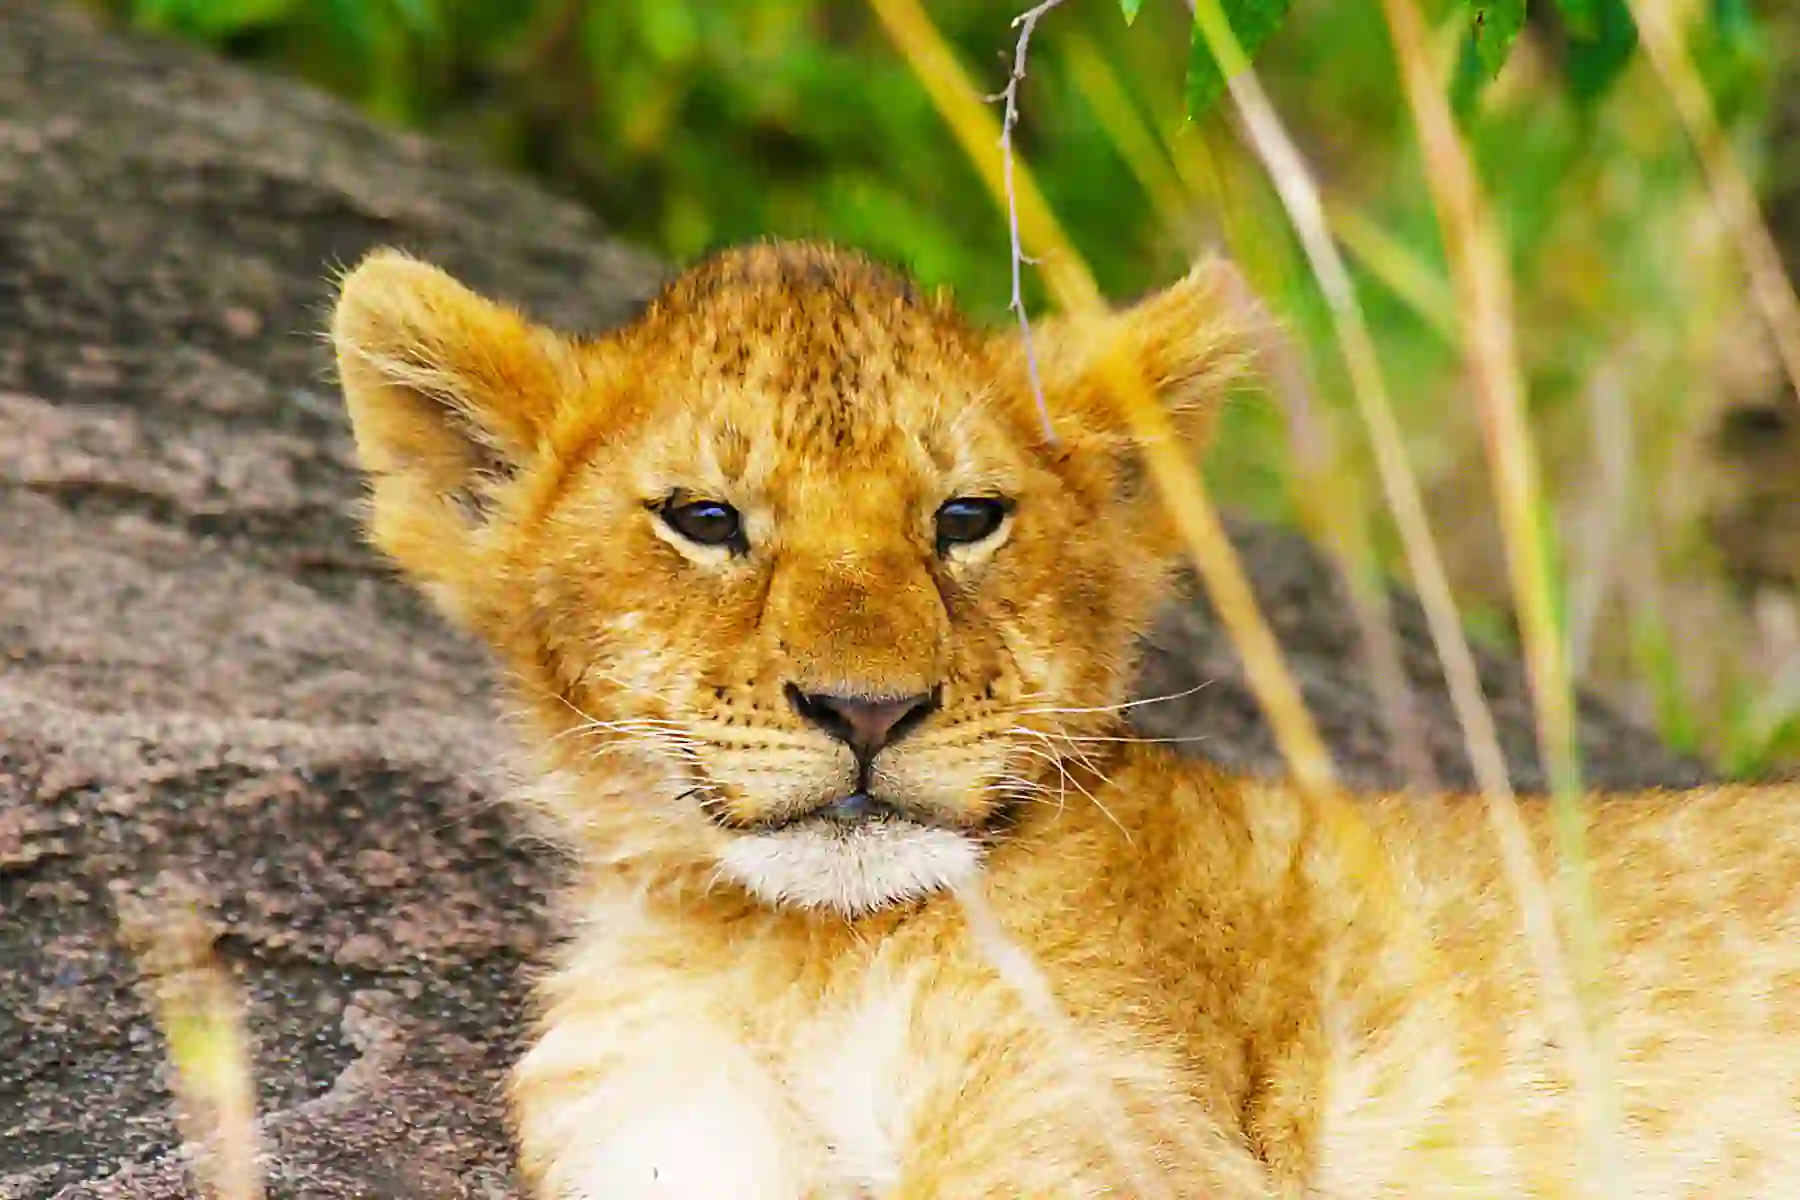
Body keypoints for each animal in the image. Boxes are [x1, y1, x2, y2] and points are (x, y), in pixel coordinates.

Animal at [330, 241, 1800, 1197]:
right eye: (704, 520)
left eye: (967, 517)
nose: (869, 710)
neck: (785, 951)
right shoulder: (657, 1127)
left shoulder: (1120, 1123)